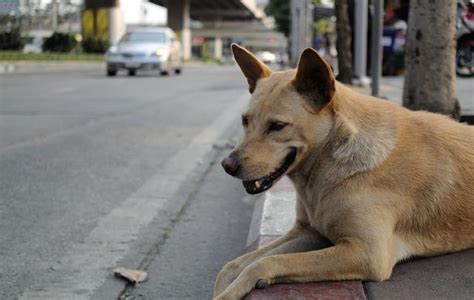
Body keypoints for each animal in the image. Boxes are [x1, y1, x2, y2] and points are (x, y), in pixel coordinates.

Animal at [215, 43, 474, 298]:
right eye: (245, 121)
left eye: (277, 126)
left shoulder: (367, 253)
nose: (227, 165)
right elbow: (234, 264)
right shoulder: (308, 231)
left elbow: (265, 263)